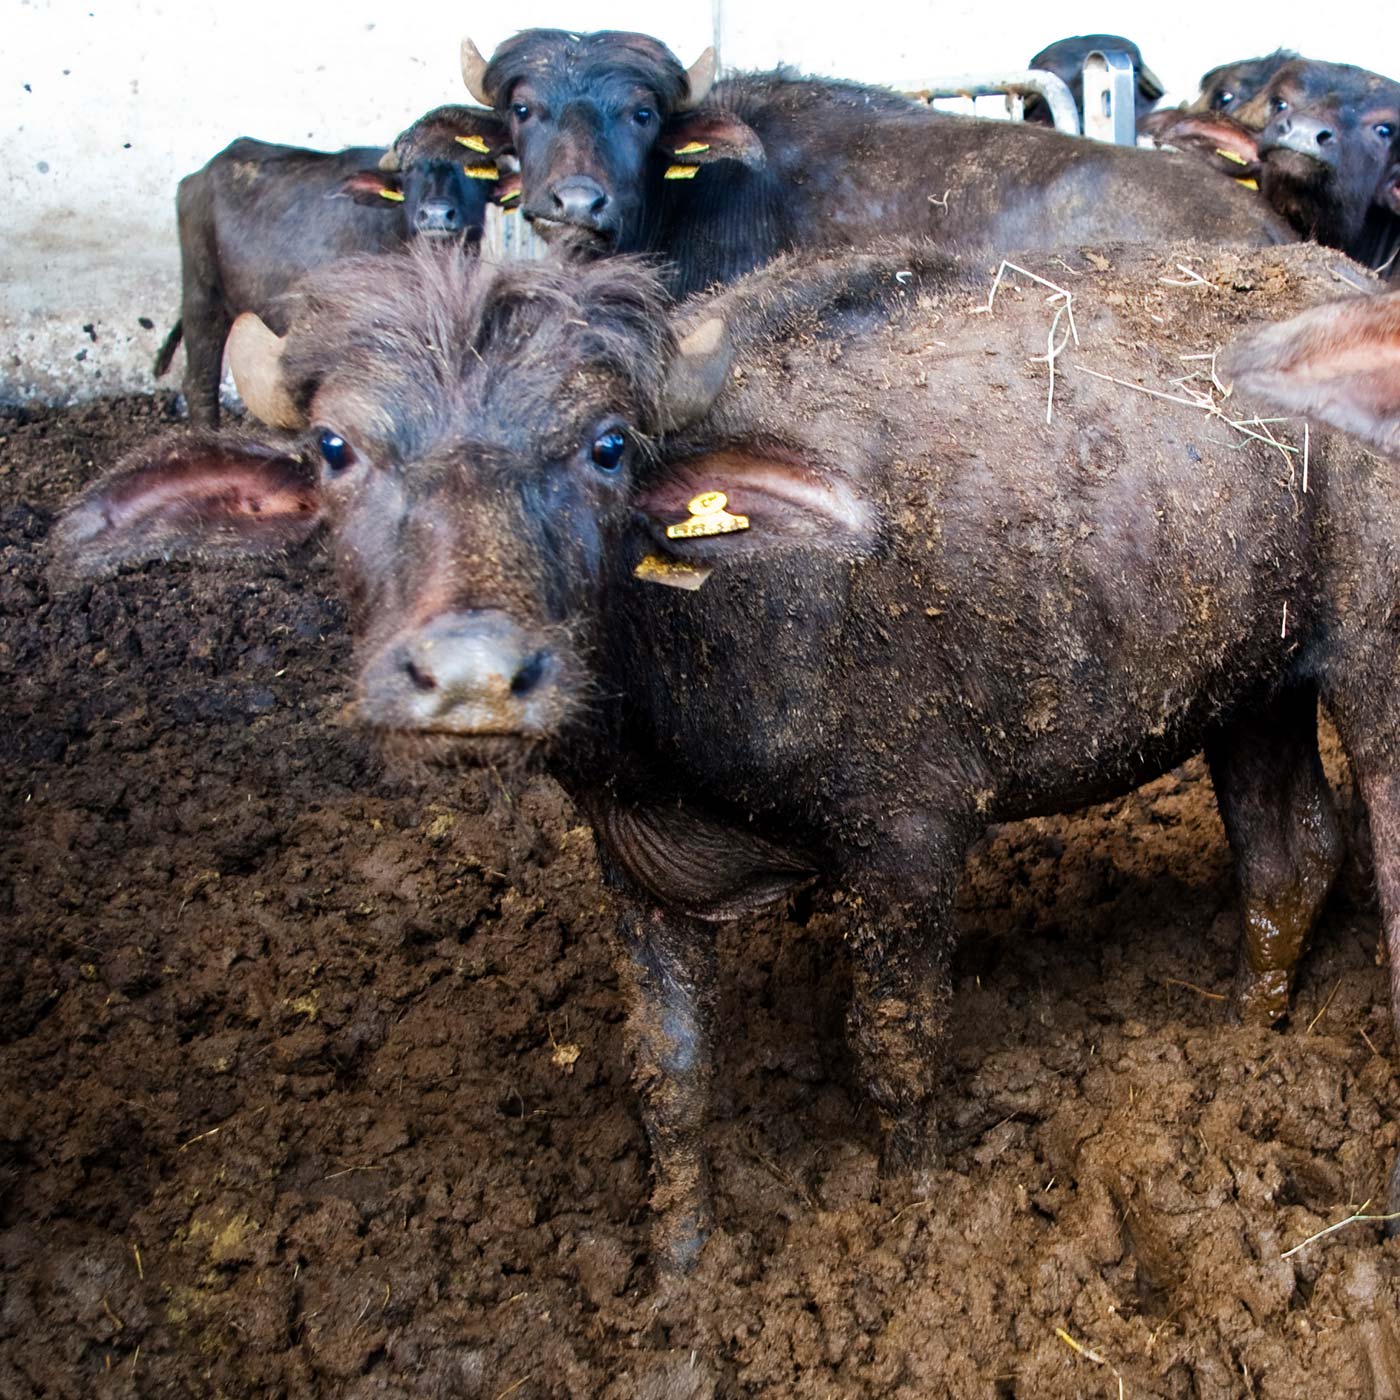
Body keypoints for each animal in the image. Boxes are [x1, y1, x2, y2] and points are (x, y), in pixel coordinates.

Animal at [49, 238, 1394, 1271]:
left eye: (602, 446)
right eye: (335, 449)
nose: (473, 670)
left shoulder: (905, 836)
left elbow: (895, 1043)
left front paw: (913, 1216)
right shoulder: (633, 870)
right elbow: (668, 1075)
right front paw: (677, 1265)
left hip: (1368, 676)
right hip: (1250, 690)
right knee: (1286, 853)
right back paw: (1243, 1035)